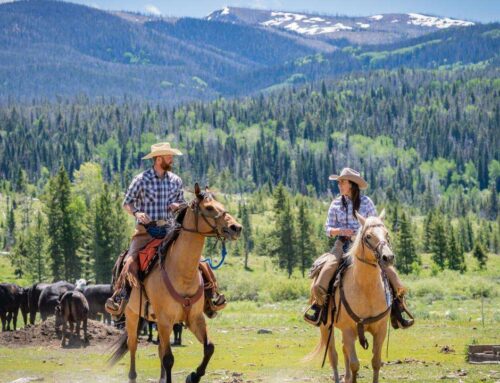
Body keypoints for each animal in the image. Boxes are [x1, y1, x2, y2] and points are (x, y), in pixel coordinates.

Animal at [109, 183, 242, 383]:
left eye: (220, 204)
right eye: (209, 208)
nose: (236, 227)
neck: (182, 273)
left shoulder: (195, 318)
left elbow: (209, 347)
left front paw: (193, 376)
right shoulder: (165, 320)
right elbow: (168, 358)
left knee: (159, 348)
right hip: (132, 315)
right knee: (133, 346)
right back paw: (132, 376)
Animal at [308, 212, 394, 382]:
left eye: (387, 234)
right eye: (368, 236)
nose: (388, 257)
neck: (366, 290)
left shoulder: (380, 330)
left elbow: (376, 362)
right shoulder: (348, 329)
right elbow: (354, 364)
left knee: (343, 350)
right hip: (326, 327)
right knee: (333, 355)